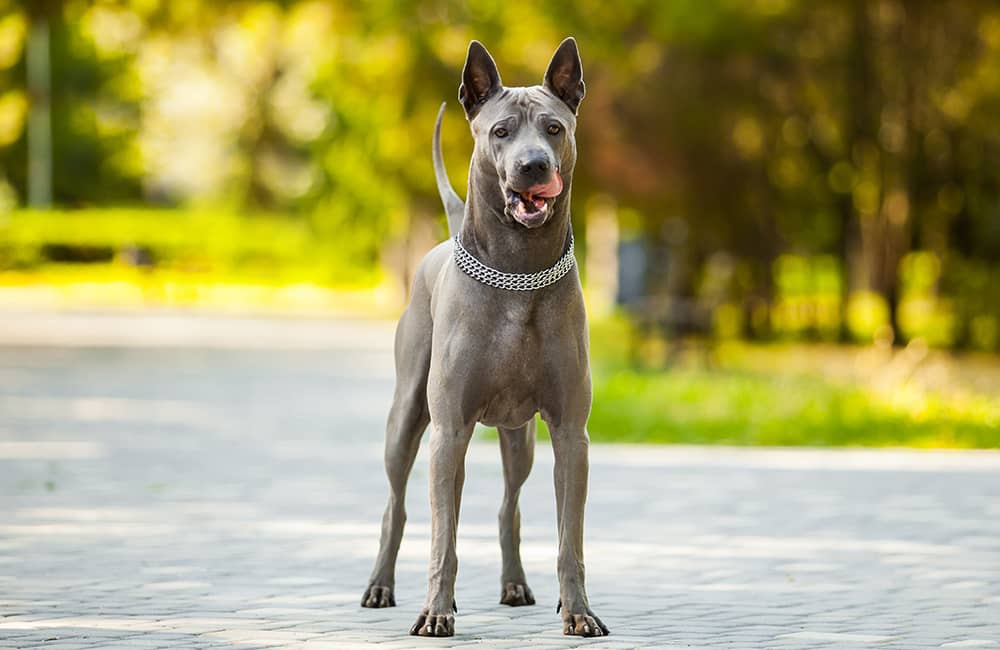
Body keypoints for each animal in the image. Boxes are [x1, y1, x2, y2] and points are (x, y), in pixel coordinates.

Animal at [364, 38, 604, 636]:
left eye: (554, 128)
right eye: (501, 131)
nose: (533, 165)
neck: (519, 271)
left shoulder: (571, 434)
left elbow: (570, 540)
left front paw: (580, 612)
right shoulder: (449, 431)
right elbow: (442, 538)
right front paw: (436, 612)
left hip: (520, 437)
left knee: (508, 505)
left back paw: (515, 584)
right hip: (408, 419)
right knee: (400, 505)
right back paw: (380, 586)